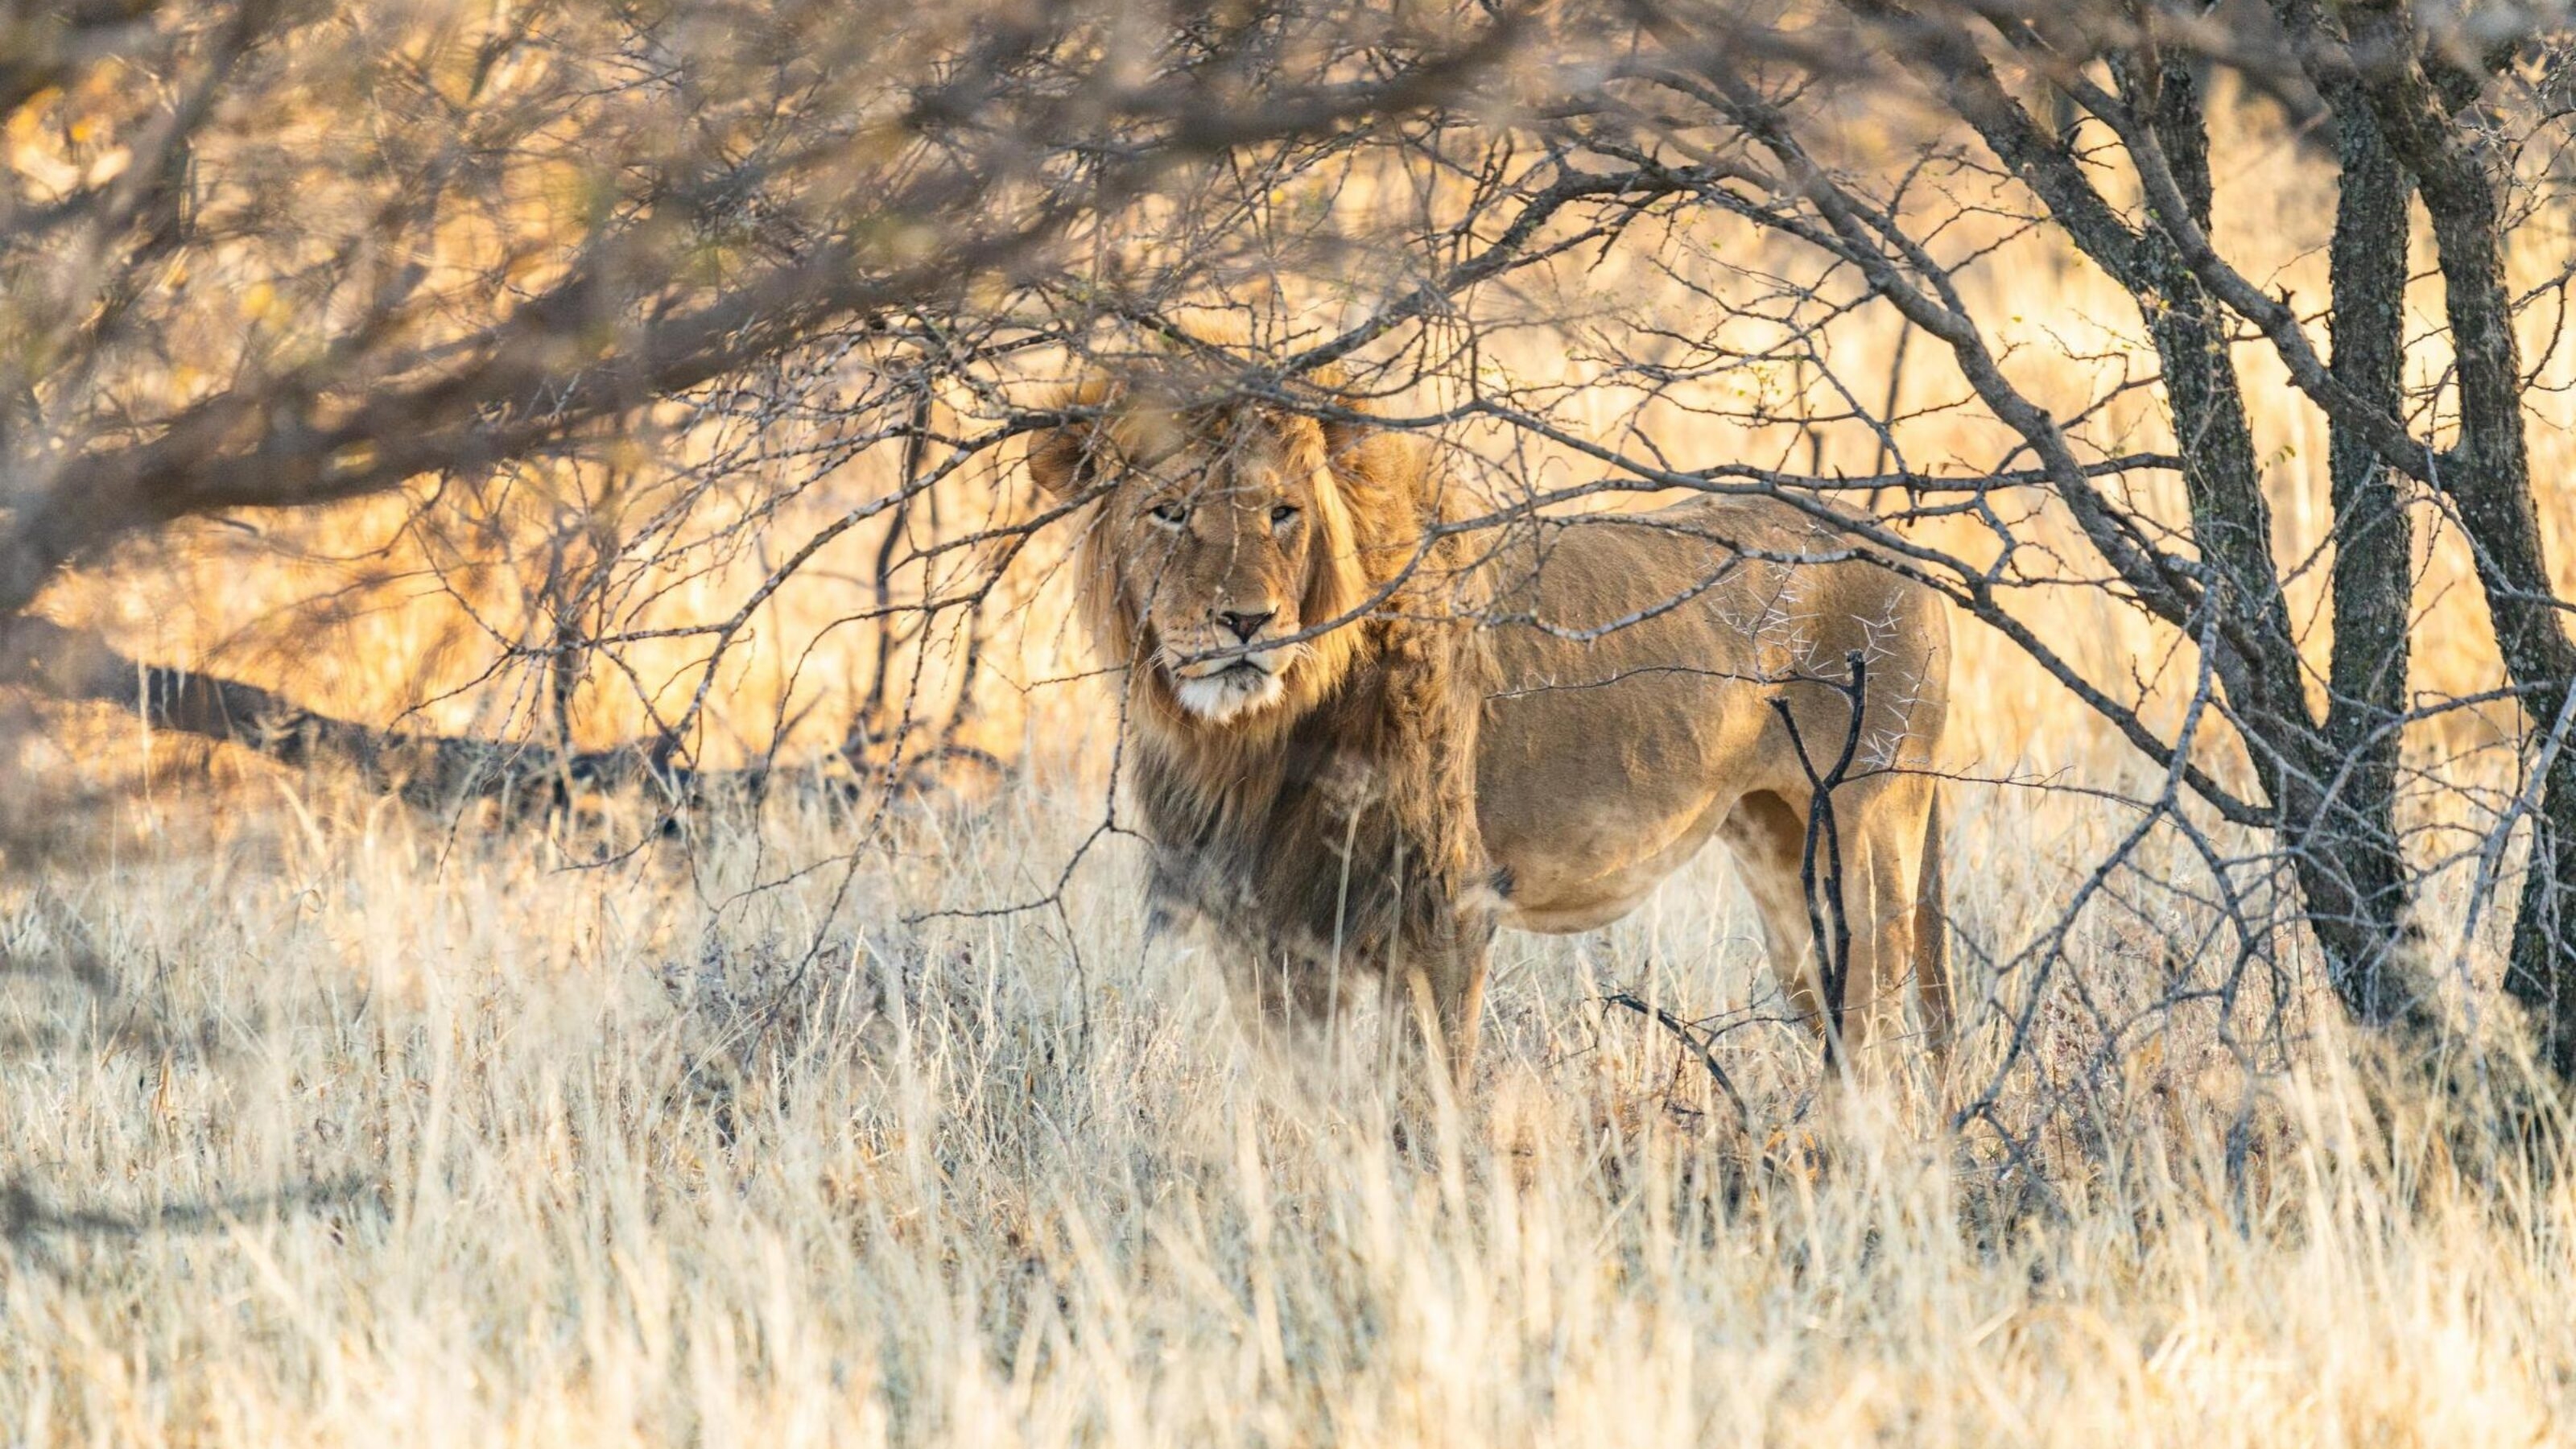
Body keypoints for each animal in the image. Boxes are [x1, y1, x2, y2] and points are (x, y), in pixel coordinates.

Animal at [1028, 361, 1950, 1083]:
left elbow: (1426, 1098)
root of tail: (1892, 541)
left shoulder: (1442, 908)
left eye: (1282, 513)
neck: (1255, 735)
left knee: (1880, 1048)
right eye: (1171, 512)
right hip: (1782, 864)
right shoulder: (1264, 929)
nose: (1246, 622)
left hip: (1869, 837)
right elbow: (1310, 1103)